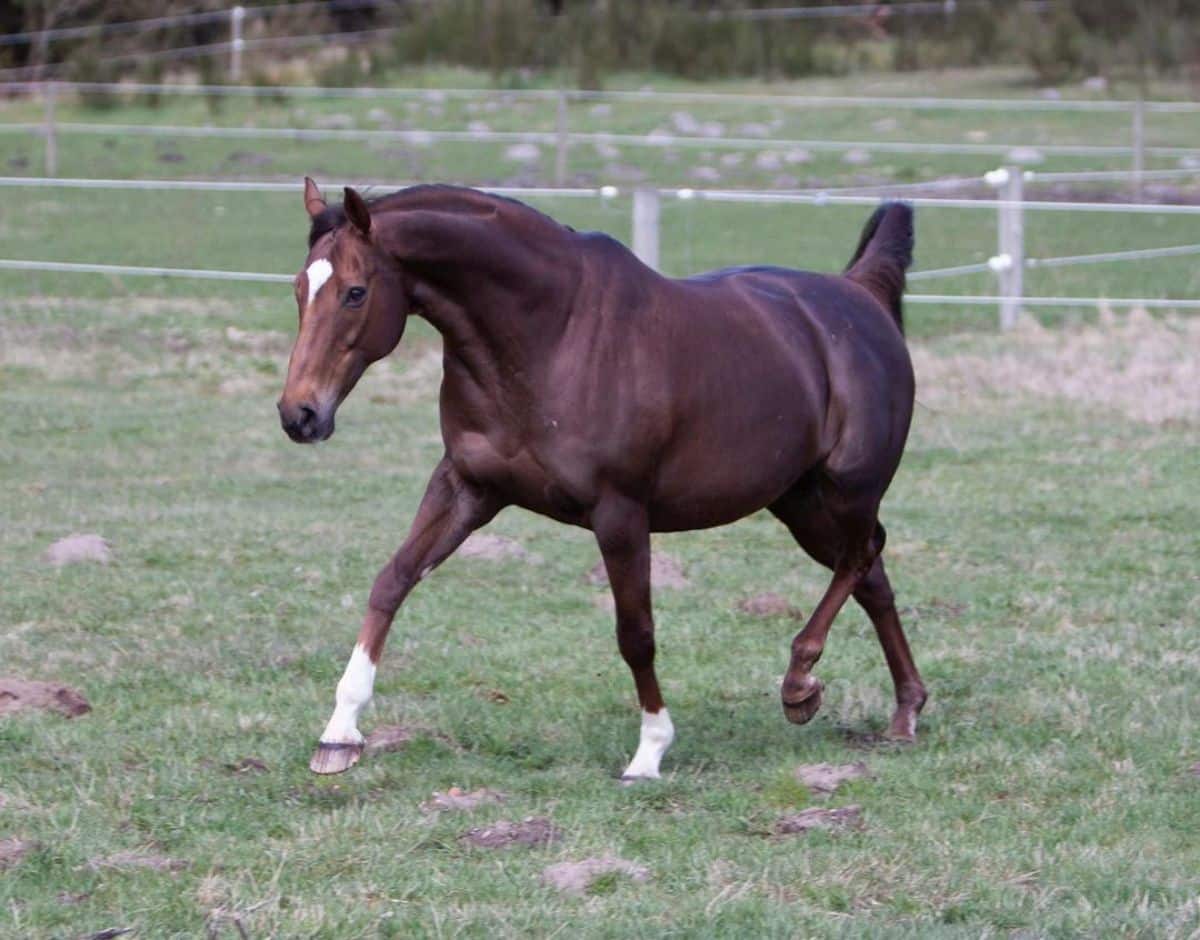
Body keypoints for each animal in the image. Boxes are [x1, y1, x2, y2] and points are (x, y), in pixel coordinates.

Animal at [280, 176, 926, 777]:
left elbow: (635, 632)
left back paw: (800, 684)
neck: (549, 334)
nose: (299, 415)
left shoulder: (619, 512)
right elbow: (392, 581)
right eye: (299, 289)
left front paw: (651, 750)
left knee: (861, 557)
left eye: (356, 292)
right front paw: (339, 734)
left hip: (847, 492)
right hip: (799, 501)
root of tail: (860, 293)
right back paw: (903, 711)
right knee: (872, 578)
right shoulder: (467, 487)